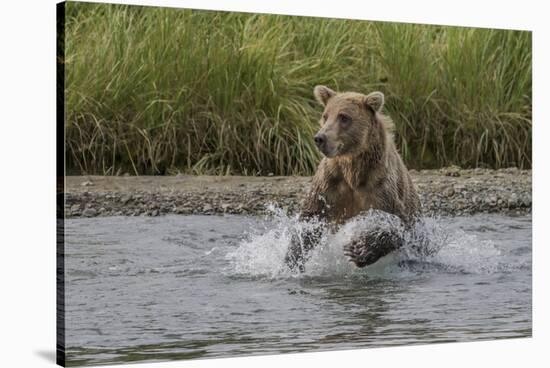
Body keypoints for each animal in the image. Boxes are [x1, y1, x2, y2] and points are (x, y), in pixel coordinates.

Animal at [284, 85, 422, 270]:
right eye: (325, 115)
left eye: (344, 117)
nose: (319, 138)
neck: (353, 170)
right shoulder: (330, 184)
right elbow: (310, 217)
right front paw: (292, 259)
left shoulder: (381, 187)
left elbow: (399, 223)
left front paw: (359, 249)